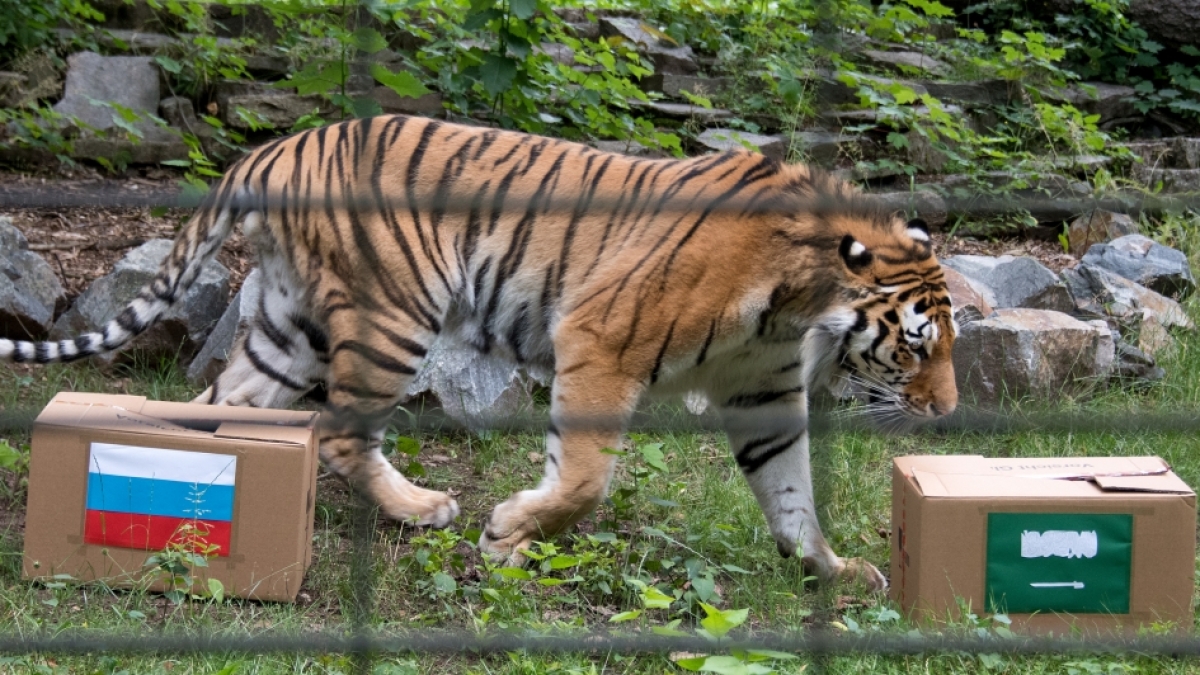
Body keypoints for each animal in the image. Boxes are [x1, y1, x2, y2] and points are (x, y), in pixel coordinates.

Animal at [0, 114, 957, 590]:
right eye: (913, 347)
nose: (947, 412)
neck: (797, 304)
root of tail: (276, 146)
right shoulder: (599, 341)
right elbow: (584, 478)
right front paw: (508, 536)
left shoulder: (763, 394)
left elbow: (791, 492)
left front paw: (832, 569)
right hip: (393, 314)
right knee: (340, 431)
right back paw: (422, 508)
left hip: (289, 326)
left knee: (222, 407)